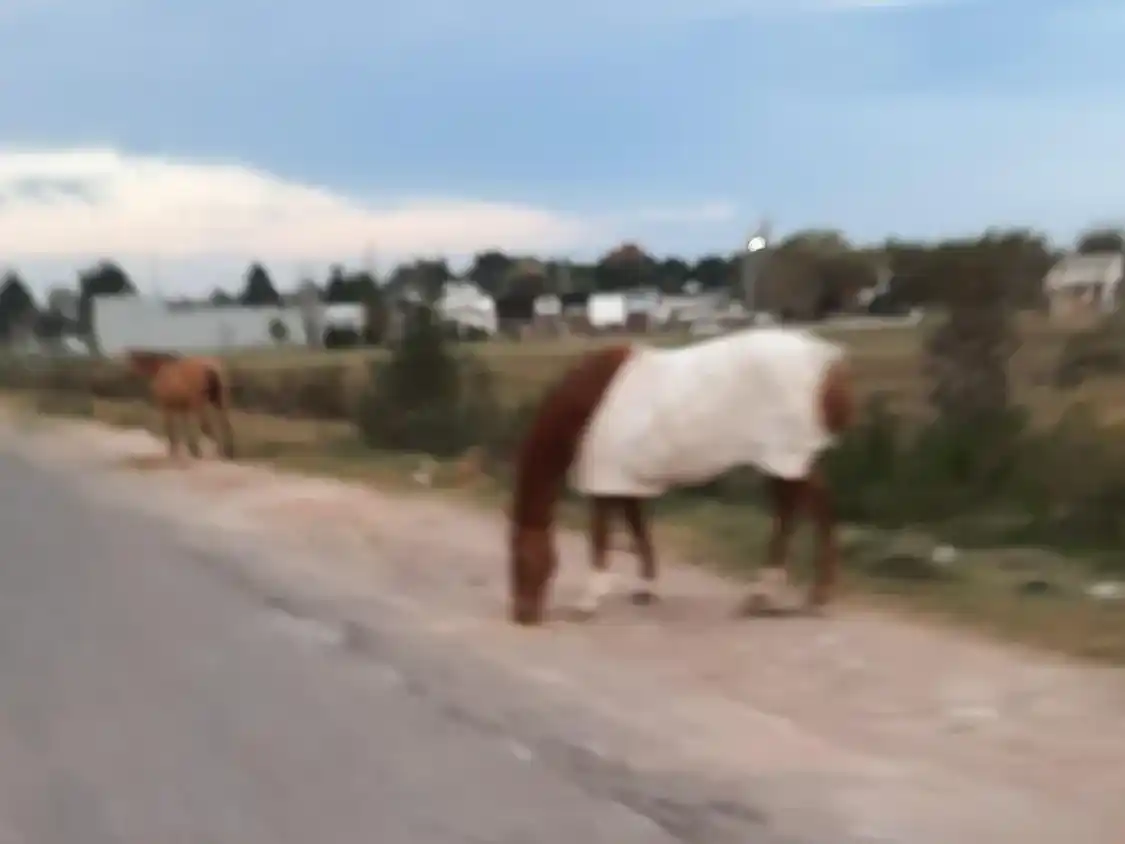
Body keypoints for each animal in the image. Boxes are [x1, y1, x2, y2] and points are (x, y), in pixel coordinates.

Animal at [507, 326, 855, 626]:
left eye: (521, 560)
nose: (524, 616)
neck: (589, 401)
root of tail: (830, 362)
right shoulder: (626, 482)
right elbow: (638, 529)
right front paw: (647, 588)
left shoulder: (605, 483)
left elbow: (601, 538)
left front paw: (589, 600)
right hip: (789, 463)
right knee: (802, 509)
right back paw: (786, 595)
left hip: (787, 459)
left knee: (804, 511)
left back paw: (788, 594)